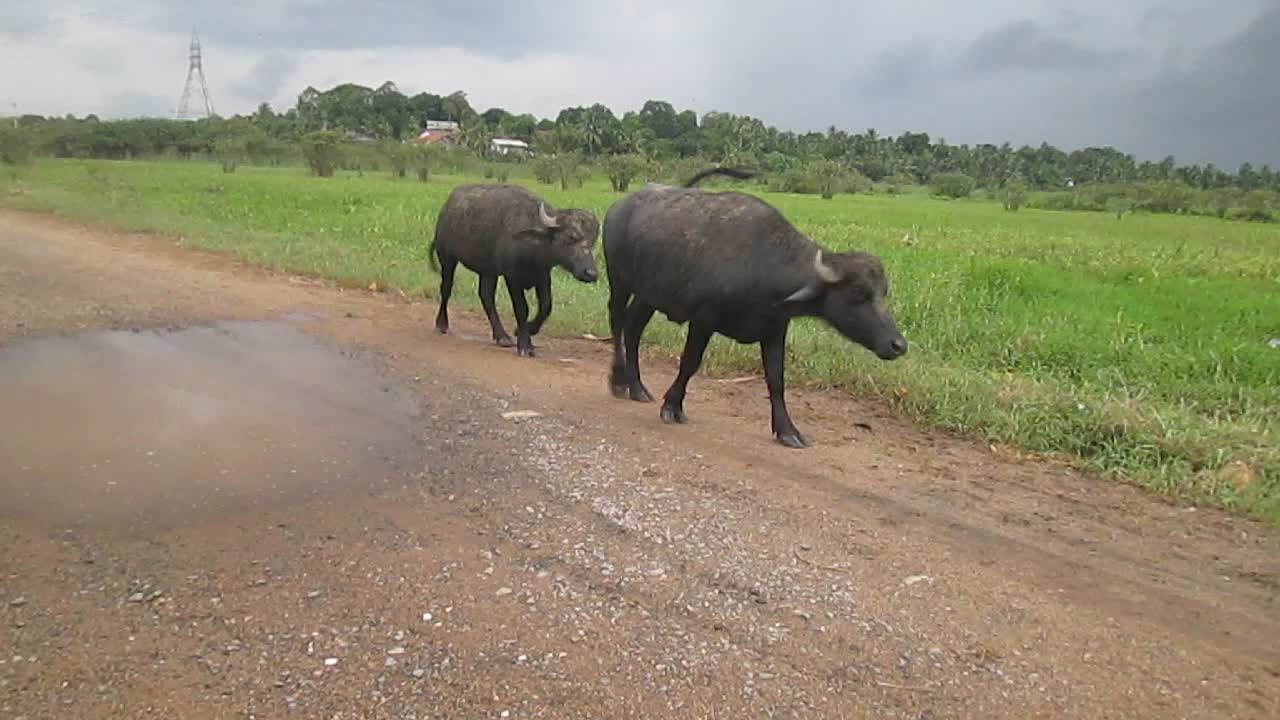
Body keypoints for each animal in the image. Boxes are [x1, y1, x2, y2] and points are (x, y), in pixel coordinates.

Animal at [430, 181, 599, 356]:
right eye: (569, 238)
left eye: (593, 241)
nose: (591, 273)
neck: (533, 249)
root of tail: (447, 208)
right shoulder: (512, 277)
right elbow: (522, 308)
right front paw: (525, 344)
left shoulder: (543, 275)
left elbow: (546, 306)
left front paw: (527, 330)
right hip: (447, 259)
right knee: (446, 289)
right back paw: (442, 324)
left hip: (488, 271)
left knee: (486, 296)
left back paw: (501, 336)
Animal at [601, 169, 911, 448]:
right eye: (858, 293)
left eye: (883, 292)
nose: (898, 345)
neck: (763, 263)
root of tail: (619, 207)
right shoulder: (703, 319)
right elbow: (689, 362)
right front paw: (672, 406)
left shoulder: (774, 329)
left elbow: (776, 379)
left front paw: (788, 431)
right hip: (619, 281)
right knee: (617, 321)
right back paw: (618, 380)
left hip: (648, 296)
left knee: (633, 329)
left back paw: (637, 387)